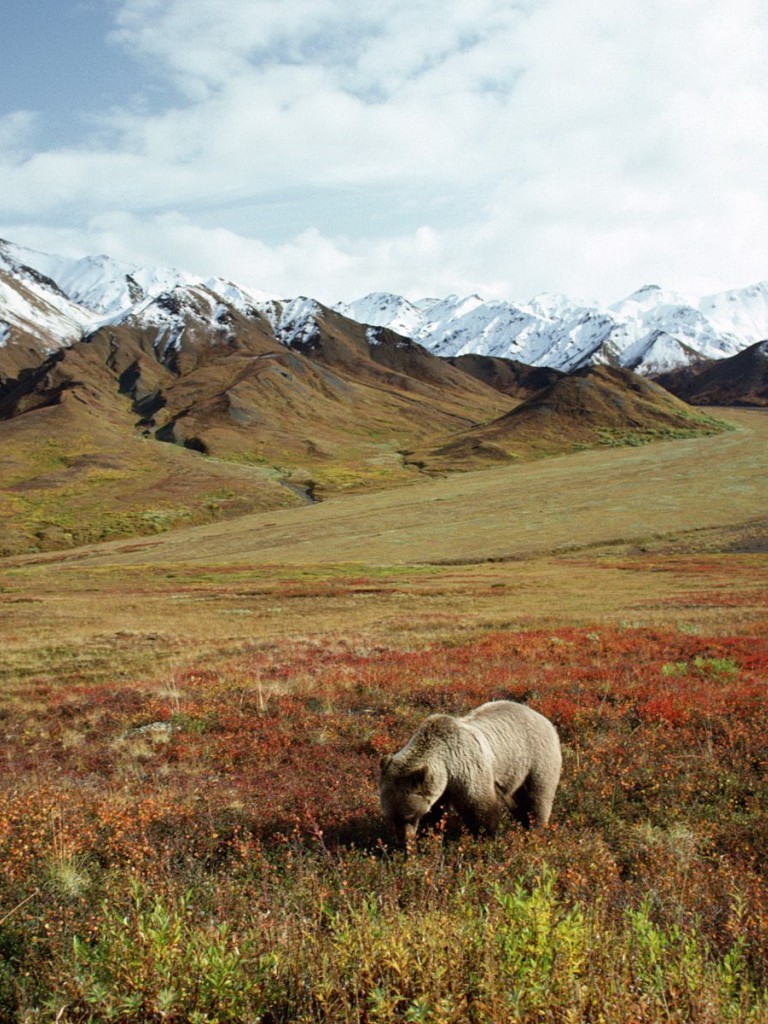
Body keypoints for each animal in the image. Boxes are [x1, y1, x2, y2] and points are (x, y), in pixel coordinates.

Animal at [382, 700, 561, 843]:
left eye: (409, 816)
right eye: (391, 817)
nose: (403, 841)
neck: (447, 766)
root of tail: (544, 718)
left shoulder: (467, 768)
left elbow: (480, 808)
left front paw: (487, 837)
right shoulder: (440, 787)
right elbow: (435, 812)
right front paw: (429, 834)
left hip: (536, 760)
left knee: (537, 798)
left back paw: (533, 829)